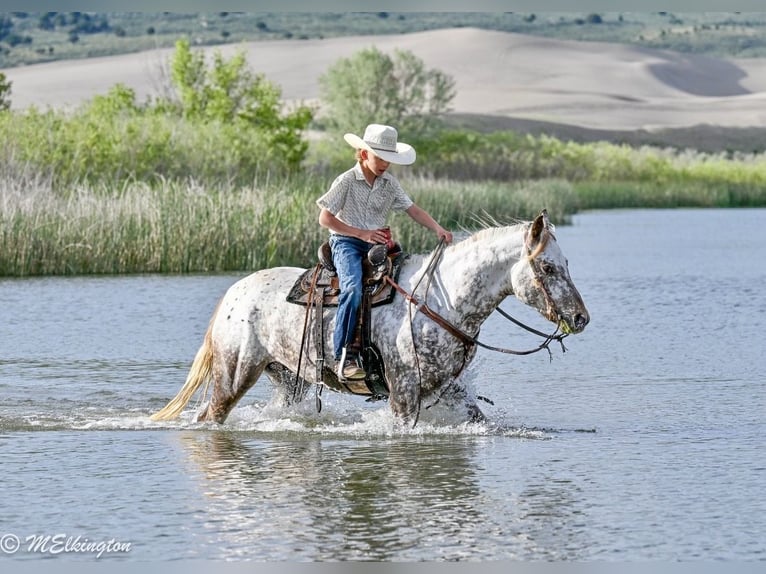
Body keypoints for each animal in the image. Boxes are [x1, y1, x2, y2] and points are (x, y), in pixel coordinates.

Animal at [150, 210, 589, 426]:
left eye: (566, 263)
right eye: (548, 267)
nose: (581, 318)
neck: (443, 301)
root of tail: (233, 294)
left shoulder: (452, 389)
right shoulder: (404, 393)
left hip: (289, 379)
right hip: (234, 373)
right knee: (210, 415)